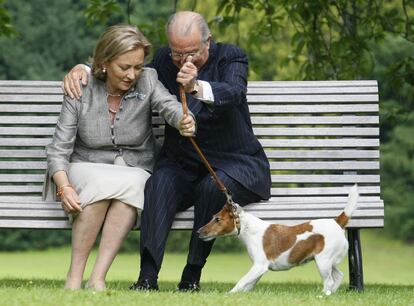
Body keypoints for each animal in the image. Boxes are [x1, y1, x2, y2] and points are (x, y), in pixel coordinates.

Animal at [198, 183, 360, 296]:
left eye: (217, 219)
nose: (199, 232)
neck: (247, 228)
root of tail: (337, 221)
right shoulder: (259, 269)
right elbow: (249, 284)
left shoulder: (259, 266)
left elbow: (242, 281)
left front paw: (230, 294)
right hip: (325, 261)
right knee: (338, 276)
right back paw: (330, 294)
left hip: (323, 261)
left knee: (329, 280)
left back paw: (322, 296)